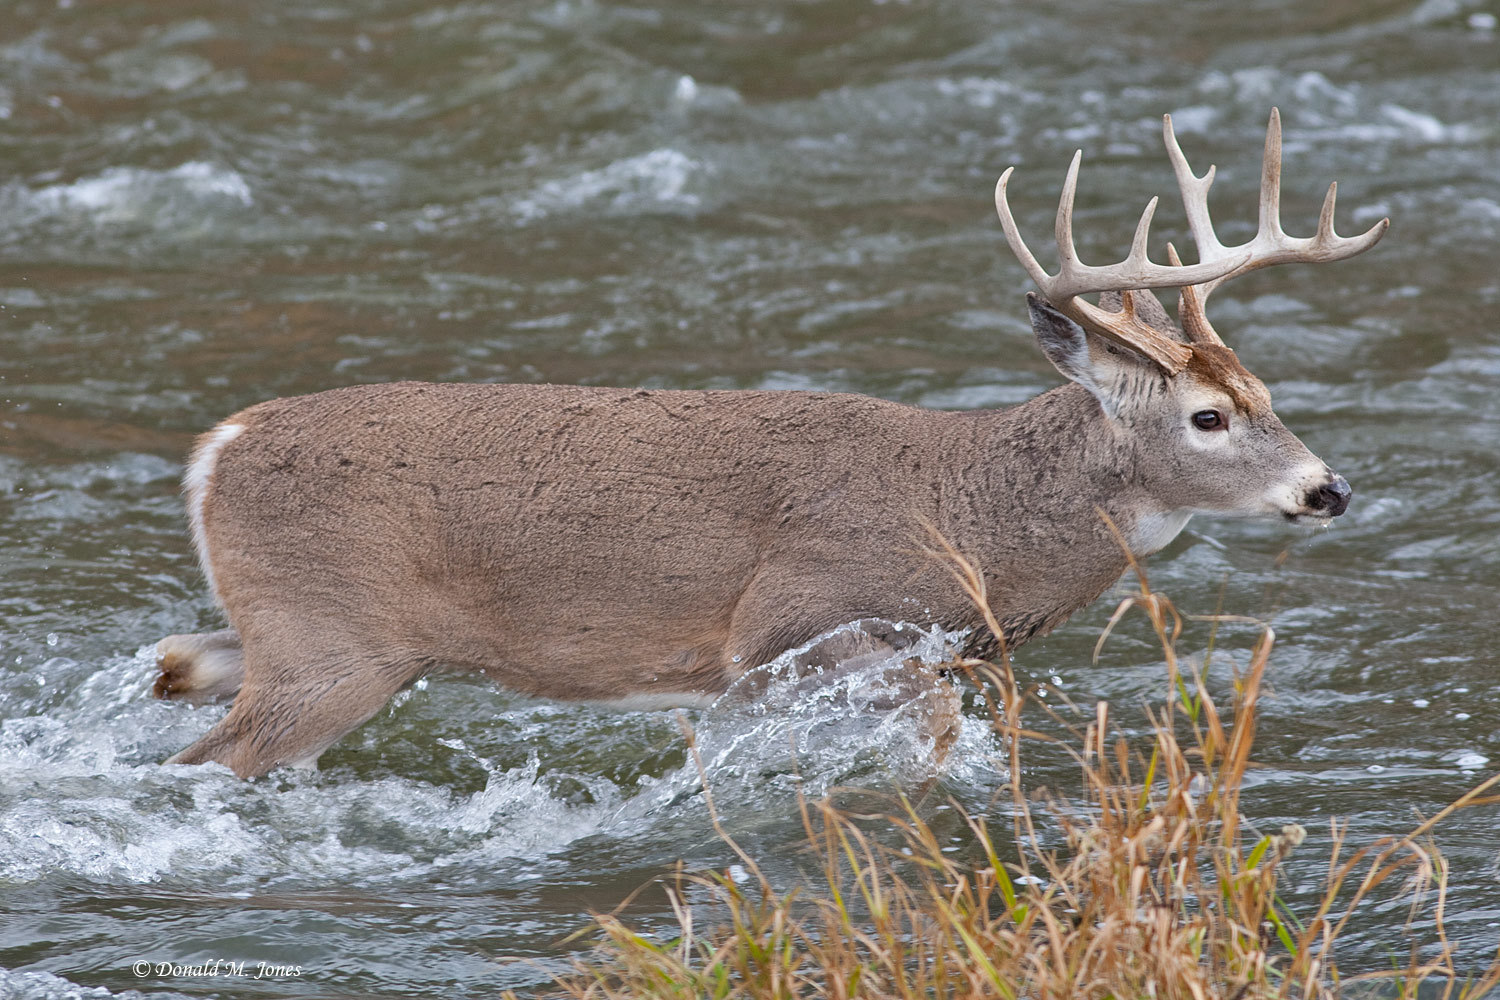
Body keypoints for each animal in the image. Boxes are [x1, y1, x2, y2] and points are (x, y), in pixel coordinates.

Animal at [151, 109, 1386, 778]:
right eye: (1207, 417)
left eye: (1265, 390)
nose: (1327, 488)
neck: (967, 514)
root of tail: (217, 446)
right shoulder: (790, 623)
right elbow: (930, 720)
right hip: (333, 647)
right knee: (211, 749)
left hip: (300, 633)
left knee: (179, 663)